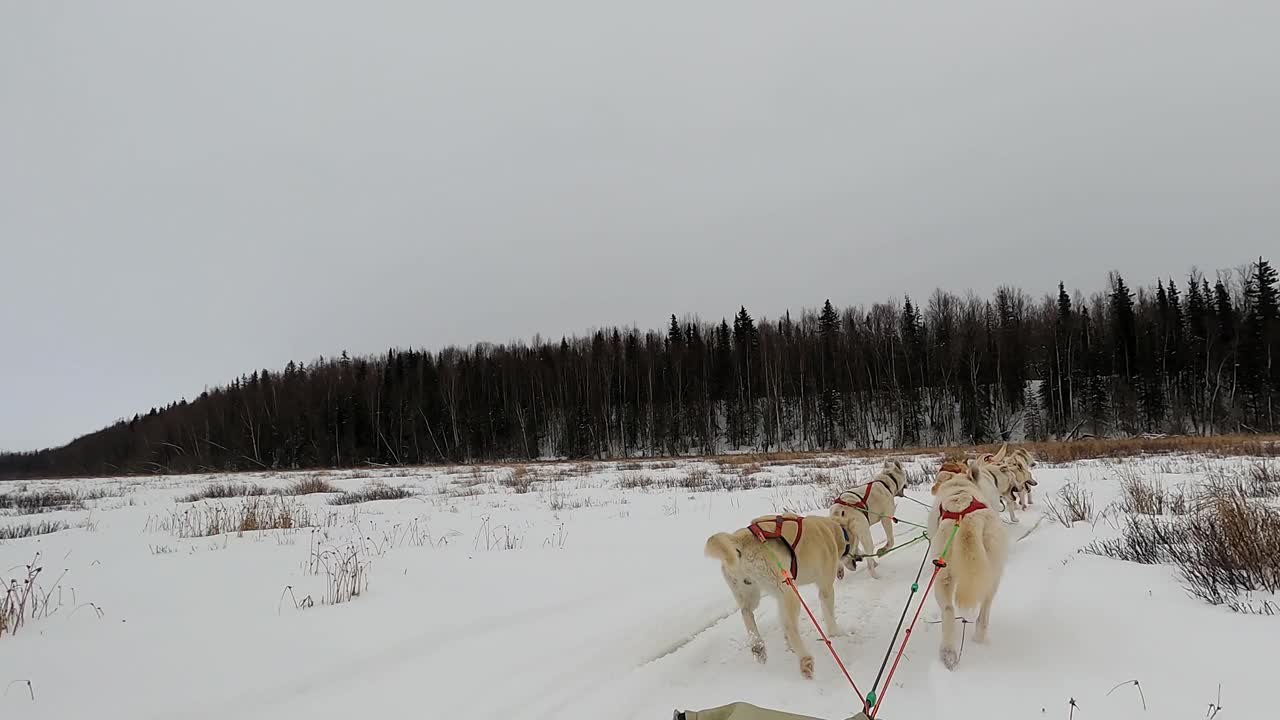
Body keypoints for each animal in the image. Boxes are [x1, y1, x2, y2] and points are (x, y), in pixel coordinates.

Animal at [706, 512, 855, 676]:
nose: (857, 560)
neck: (833, 530)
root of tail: (738, 540)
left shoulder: (780, 597)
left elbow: (782, 618)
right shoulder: (825, 588)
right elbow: (829, 615)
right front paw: (836, 633)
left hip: (753, 593)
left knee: (746, 612)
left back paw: (758, 646)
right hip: (791, 593)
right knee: (790, 627)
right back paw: (805, 659)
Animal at [931, 453, 1008, 666]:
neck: (960, 486)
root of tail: (966, 519)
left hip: (942, 573)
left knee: (948, 609)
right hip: (992, 569)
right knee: (984, 605)